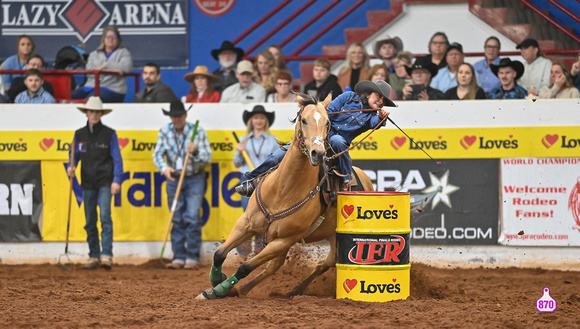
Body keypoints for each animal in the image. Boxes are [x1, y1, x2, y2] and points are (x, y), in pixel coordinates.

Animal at [197, 92, 374, 300]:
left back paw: (292, 291)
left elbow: (245, 267)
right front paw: (216, 282)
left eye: (327, 122)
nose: (318, 153)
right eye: (303, 120)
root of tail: (366, 180)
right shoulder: (245, 224)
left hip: (335, 240)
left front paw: (219, 289)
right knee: (276, 266)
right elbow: (219, 253)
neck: (282, 191)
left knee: (322, 264)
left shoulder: (284, 240)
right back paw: (246, 289)